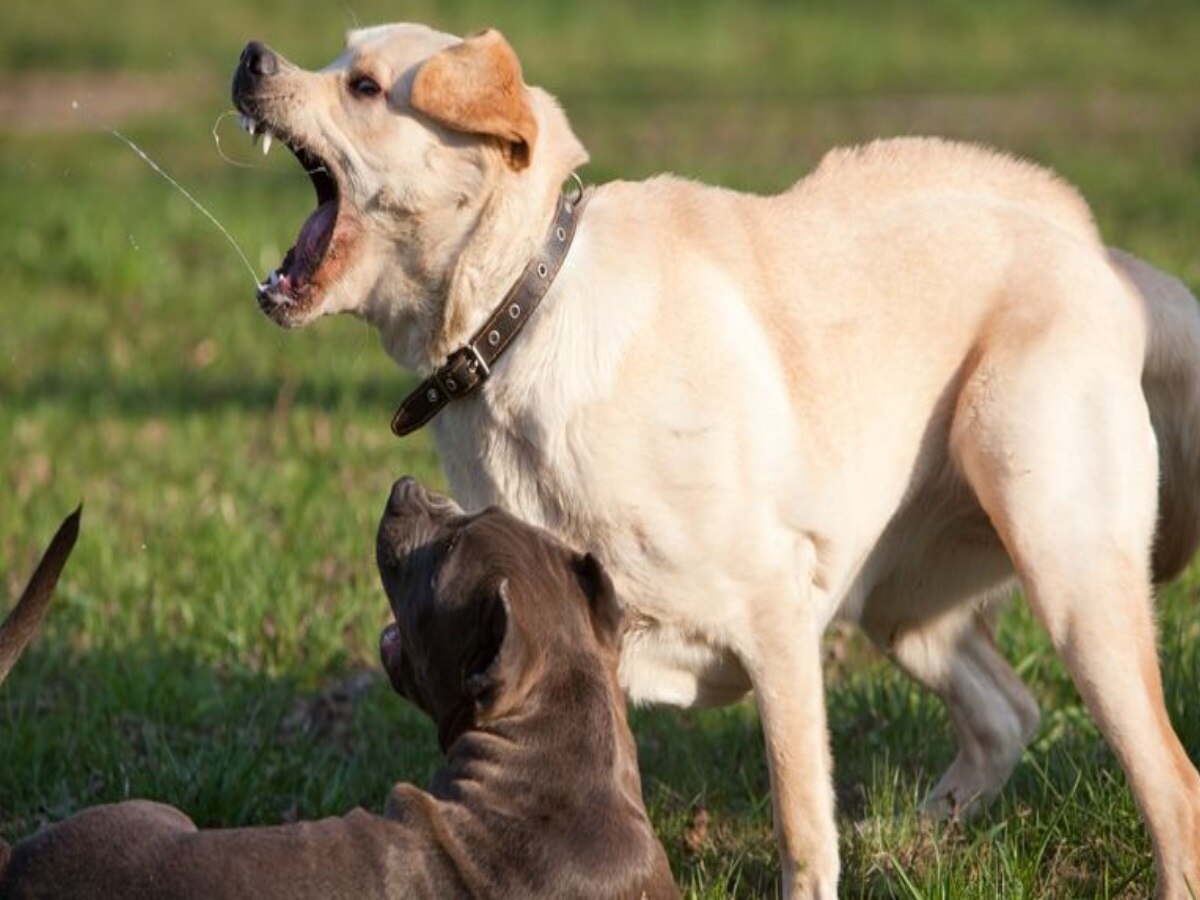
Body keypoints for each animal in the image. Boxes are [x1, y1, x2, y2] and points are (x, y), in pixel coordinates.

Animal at [231, 24, 1200, 897]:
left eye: (363, 85)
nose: (251, 59)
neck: (518, 316)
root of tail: (1103, 258)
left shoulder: (776, 616)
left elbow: (802, 832)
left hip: (1063, 562)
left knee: (1172, 785)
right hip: (901, 602)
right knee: (1008, 711)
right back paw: (914, 841)